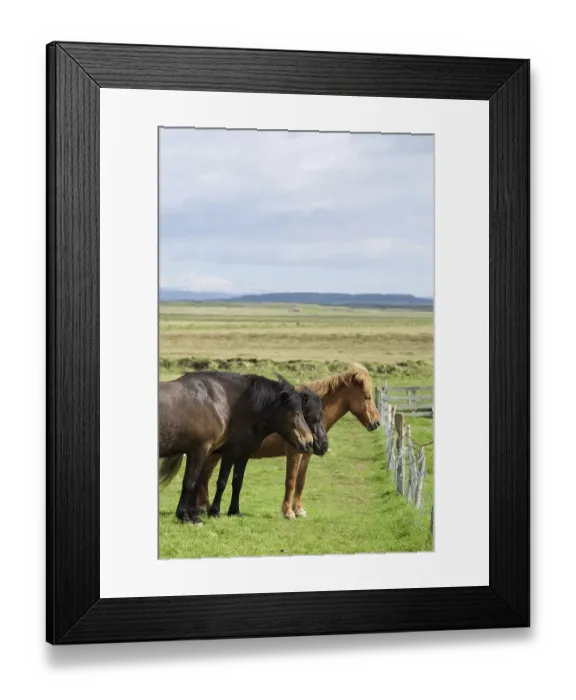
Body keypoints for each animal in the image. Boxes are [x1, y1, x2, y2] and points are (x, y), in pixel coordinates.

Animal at [159, 371, 314, 525]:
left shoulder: (242, 454)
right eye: (295, 413)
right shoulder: (215, 451)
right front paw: (193, 515)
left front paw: (233, 511)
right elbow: (201, 482)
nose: (309, 442)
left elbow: (236, 482)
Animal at [207, 386, 328, 518]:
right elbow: (222, 482)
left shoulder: (243, 455)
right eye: (315, 417)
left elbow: (237, 482)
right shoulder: (230, 453)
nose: (324, 445)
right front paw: (215, 511)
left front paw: (234, 511)